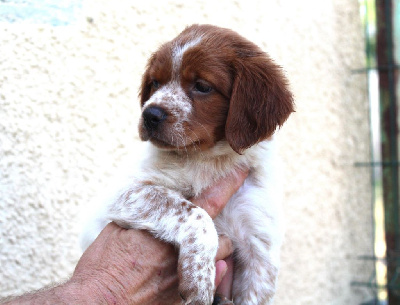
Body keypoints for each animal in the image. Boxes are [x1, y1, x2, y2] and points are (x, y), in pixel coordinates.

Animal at [81, 24, 294, 304]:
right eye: (155, 82)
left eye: (202, 86)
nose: (149, 115)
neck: (209, 160)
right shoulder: (124, 192)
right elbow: (196, 213)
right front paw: (199, 281)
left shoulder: (259, 246)